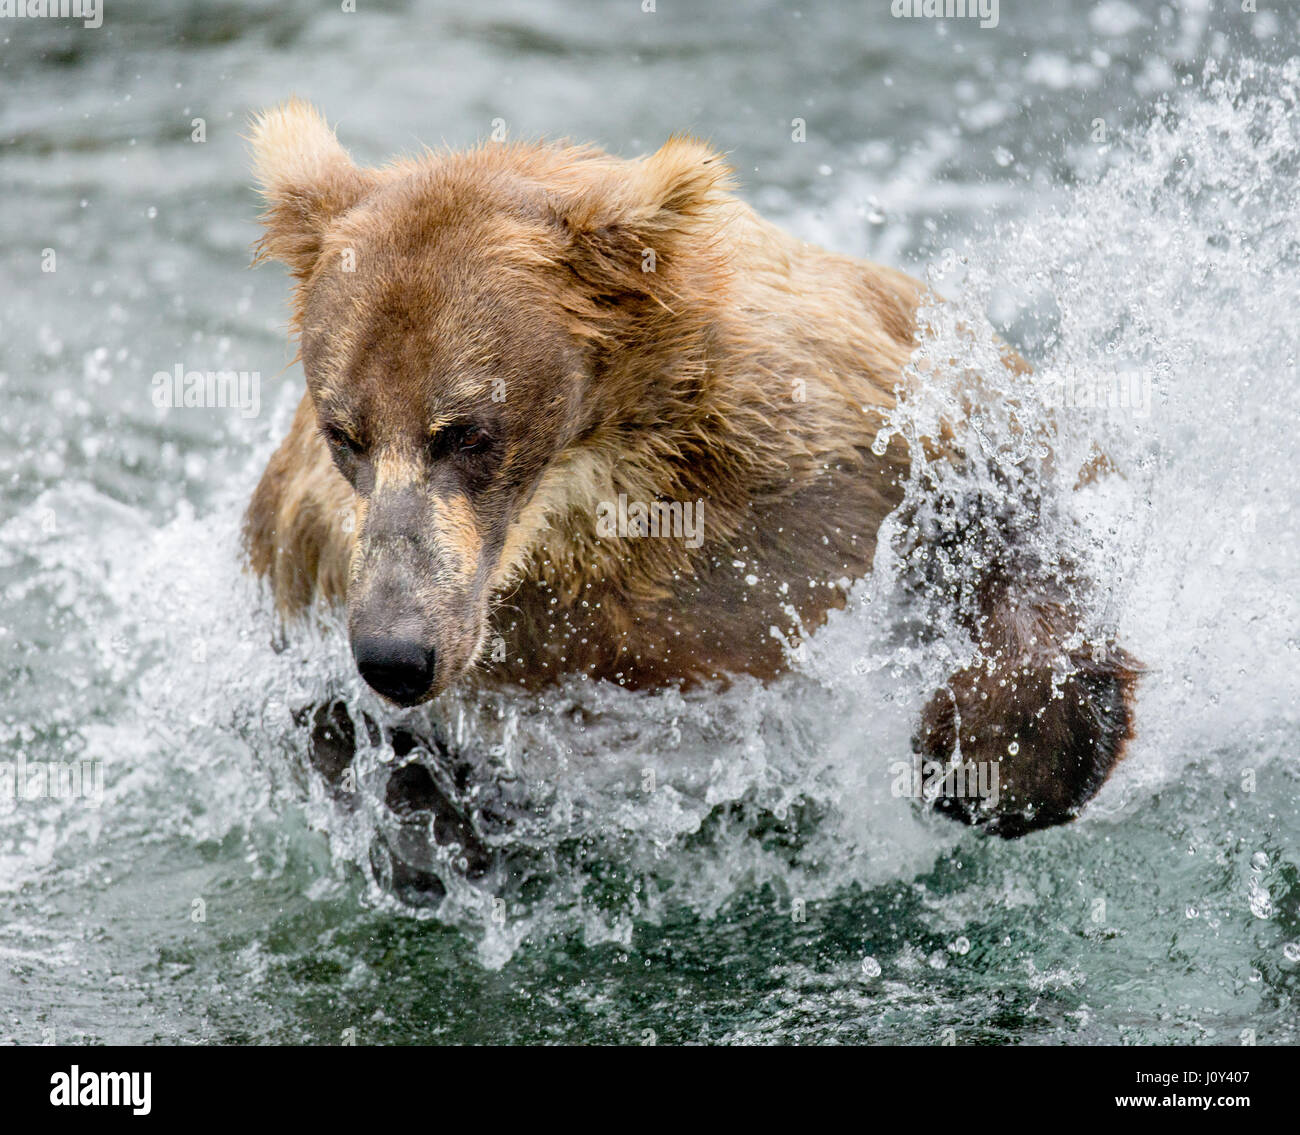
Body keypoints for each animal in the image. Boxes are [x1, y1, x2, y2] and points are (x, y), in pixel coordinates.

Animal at [244, 99, 1137, 839]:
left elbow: (1014, 514)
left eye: (465, 431)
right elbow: (323, 720)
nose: (396, 651)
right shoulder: (319, 554)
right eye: (345, 432)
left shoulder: (844, 443)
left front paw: (988, 755)